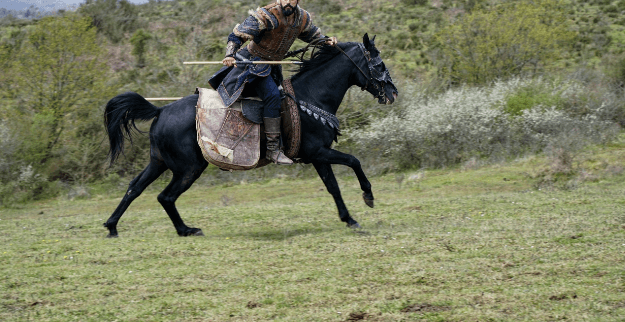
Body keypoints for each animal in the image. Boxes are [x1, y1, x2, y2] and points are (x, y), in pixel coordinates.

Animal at [102, 34, 394, 236]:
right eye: (379, 65)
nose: (392, 93)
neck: (311, 96)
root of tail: (161, 110)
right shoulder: (319, 152)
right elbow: (354, 161)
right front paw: (368, 196)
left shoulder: (318, 157)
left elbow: (333, 187)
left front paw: (349, 219)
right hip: (188, 168)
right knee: (166, 196)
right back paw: (186, 230)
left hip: (159, 162)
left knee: (135, 188)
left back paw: (112, 226)